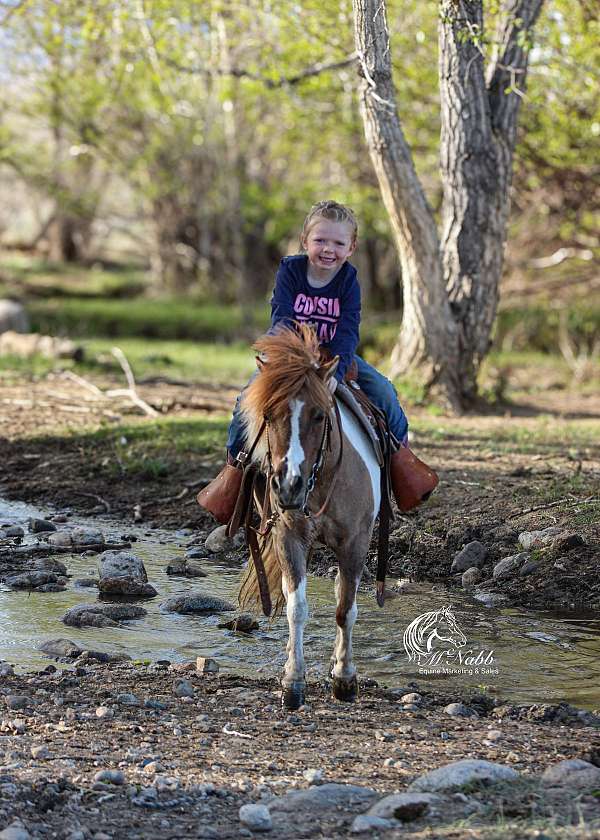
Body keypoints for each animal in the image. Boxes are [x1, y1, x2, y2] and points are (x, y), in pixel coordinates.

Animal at [237, 323, 382, 709]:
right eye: (268, 415)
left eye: (319, 415)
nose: (289, 486)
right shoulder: (289, 537)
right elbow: (296, 607)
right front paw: (292, 681)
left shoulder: (355, 542)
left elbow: (346, 608)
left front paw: (345, 678)